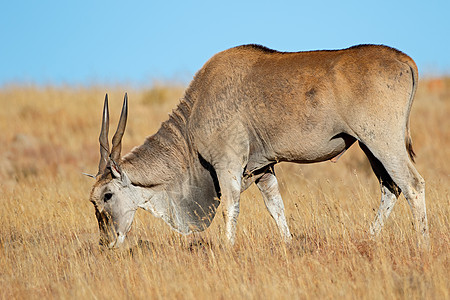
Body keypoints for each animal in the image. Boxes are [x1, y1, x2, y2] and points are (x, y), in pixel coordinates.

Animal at [88, 44, 428, 248]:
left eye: (107, 195)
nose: (107, 241)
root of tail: (404, 60)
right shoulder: (264, 169)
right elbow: (276, 208)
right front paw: (289, 246)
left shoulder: (228, 165)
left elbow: (231, 207)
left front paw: (227, 250)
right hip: (370, 147)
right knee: (391, 187)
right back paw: (367, 239)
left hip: (382, 141)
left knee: (412, 184)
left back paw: (422, 244)